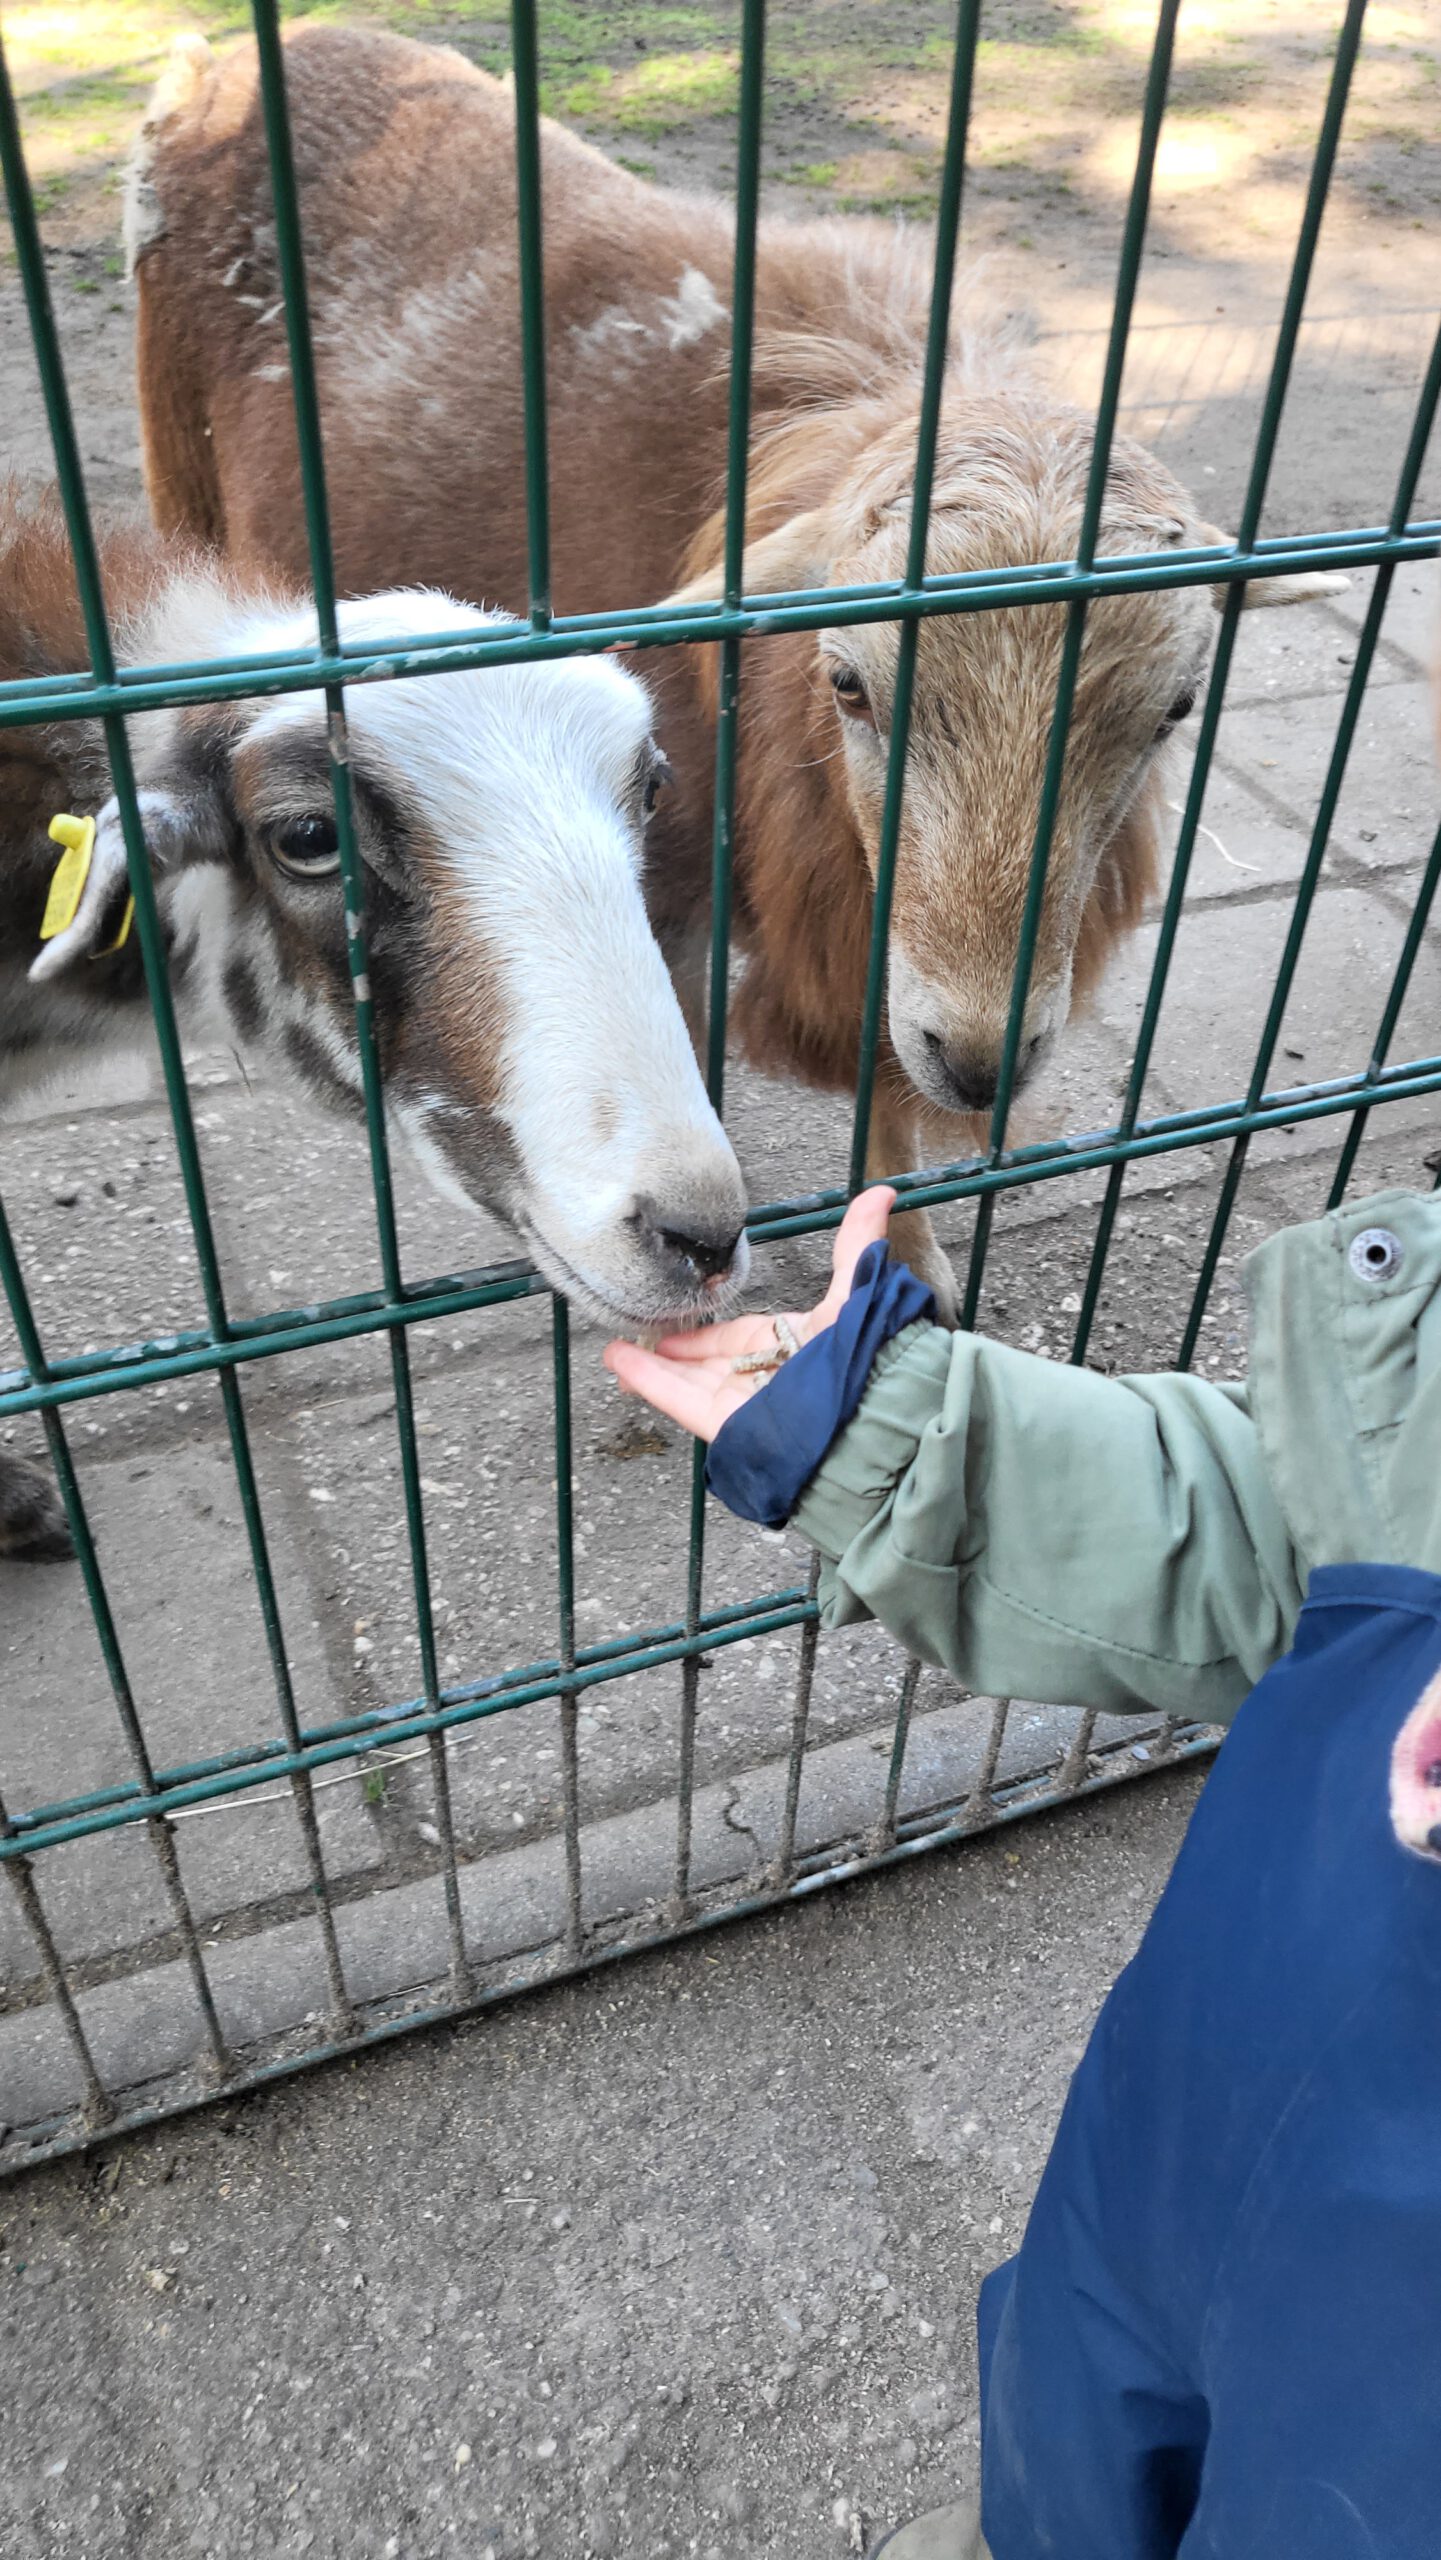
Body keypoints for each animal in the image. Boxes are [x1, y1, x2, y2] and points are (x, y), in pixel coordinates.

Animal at [129, 26, 1337, 1311]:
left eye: (1176, 708)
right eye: (847, 682)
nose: (977, 1058)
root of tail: (235, 56)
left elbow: (876, 1092)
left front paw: (902, 1254)